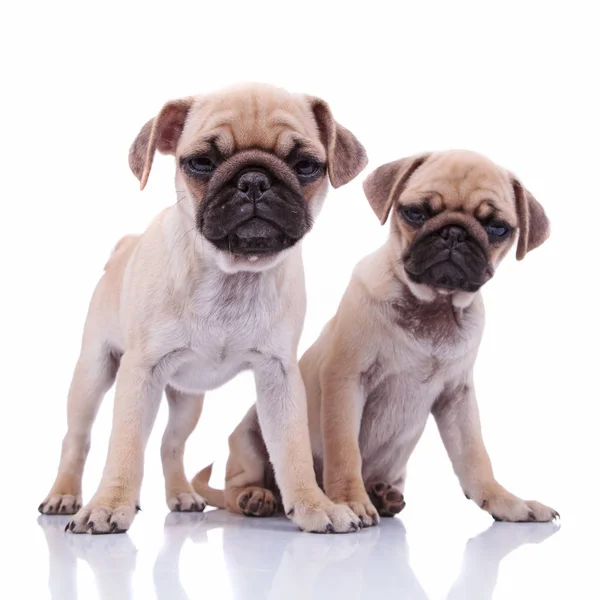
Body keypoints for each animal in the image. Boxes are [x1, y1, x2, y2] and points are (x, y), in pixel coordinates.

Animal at [38, 81, 366, 536]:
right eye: (201, 163)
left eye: (305, 166)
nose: (254, 180)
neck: (231, 275)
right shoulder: (139, 374)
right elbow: (124, 445)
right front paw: (109, 504)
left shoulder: (278, 377)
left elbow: (293, 447)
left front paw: (314, 504)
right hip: (92, 374)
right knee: (78, 438)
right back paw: (64, 494)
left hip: (187, 400)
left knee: (170, 444)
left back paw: (181, 495)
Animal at [196, 149, 556, 524]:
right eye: (415, 213)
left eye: (497, 228)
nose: (454, 234)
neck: (434, 305)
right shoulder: (346, 381)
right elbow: (345, 451)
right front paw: (350, 500)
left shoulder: (457, 398)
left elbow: (476, 458)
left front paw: (506, 501)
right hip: (249, 438)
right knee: (239, 486)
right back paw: (256, 497)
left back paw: (383, 496)